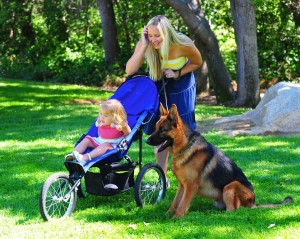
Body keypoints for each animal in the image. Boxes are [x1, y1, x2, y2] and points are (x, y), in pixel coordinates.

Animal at [146, 103, 292, 218]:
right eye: (155, 128)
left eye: (162, 130)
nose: (147, 141)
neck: (186, 147)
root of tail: (254, 203)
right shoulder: (182, 185)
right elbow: (175, 202)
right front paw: (167, 214)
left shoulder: (191, 186)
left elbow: (182, 204)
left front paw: (175, 218)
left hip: (230, 185)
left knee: (233, 211)